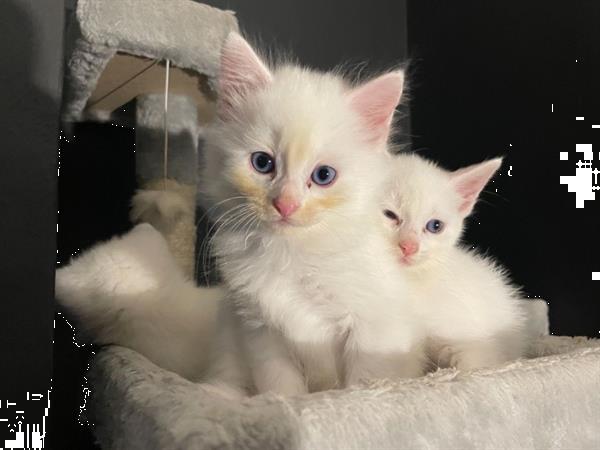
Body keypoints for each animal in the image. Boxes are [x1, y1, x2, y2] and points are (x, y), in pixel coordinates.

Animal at [199, 33, 424, 396]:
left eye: (323, 176)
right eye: (262, 163)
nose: (286, 204)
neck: (292, 254)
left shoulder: (373, 326)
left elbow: (362, 381)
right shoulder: (258, 328)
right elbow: (280, 385)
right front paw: (285, 404)